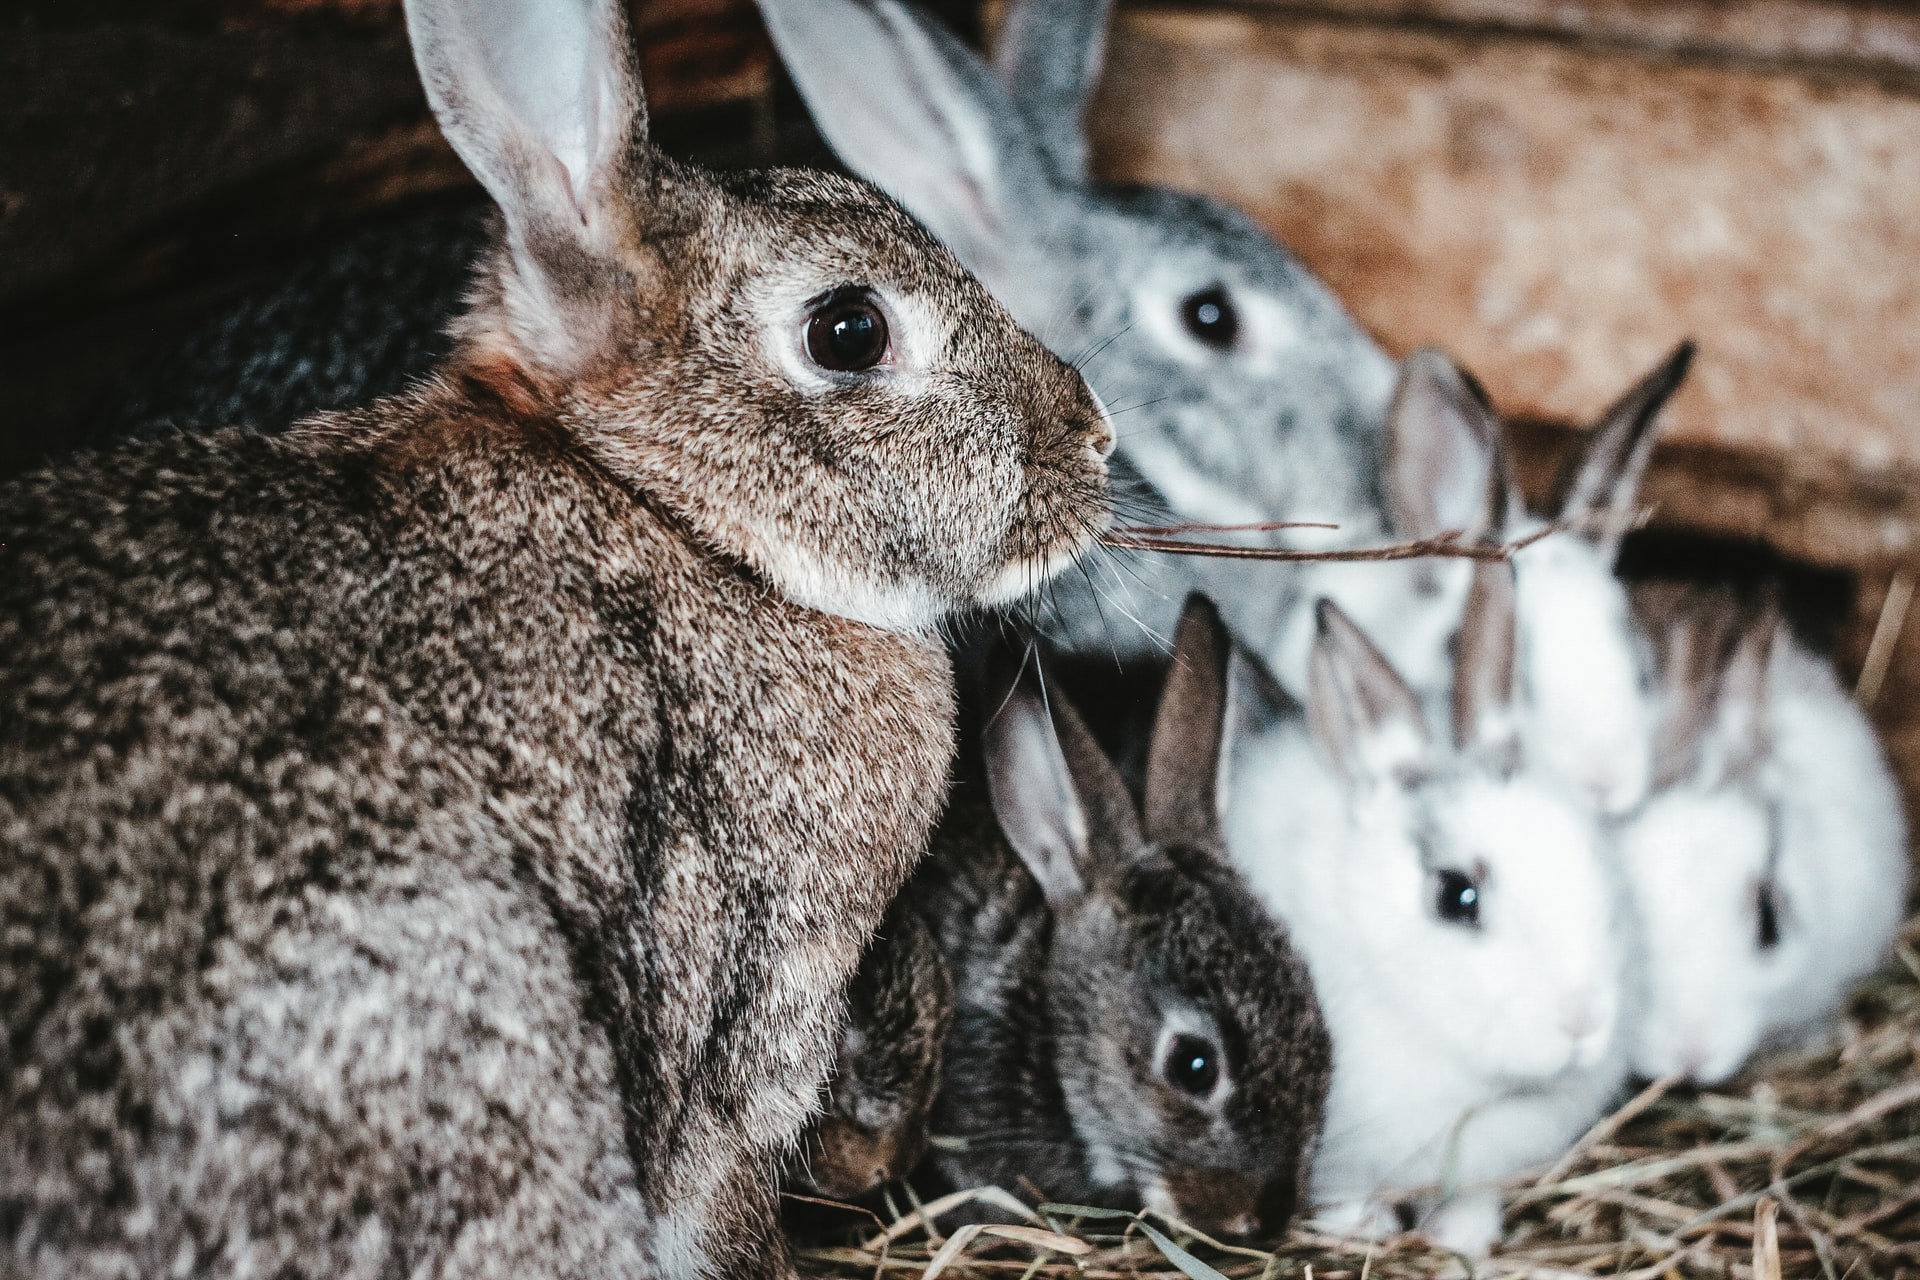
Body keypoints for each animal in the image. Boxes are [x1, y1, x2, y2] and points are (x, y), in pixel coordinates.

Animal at [1225, 562, 1632, 1258]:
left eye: (1597, 857)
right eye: (1455, 896)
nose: (1583, 1021)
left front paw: (1461, 1240)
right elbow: (1344, 1196)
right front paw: (1362, 1230)